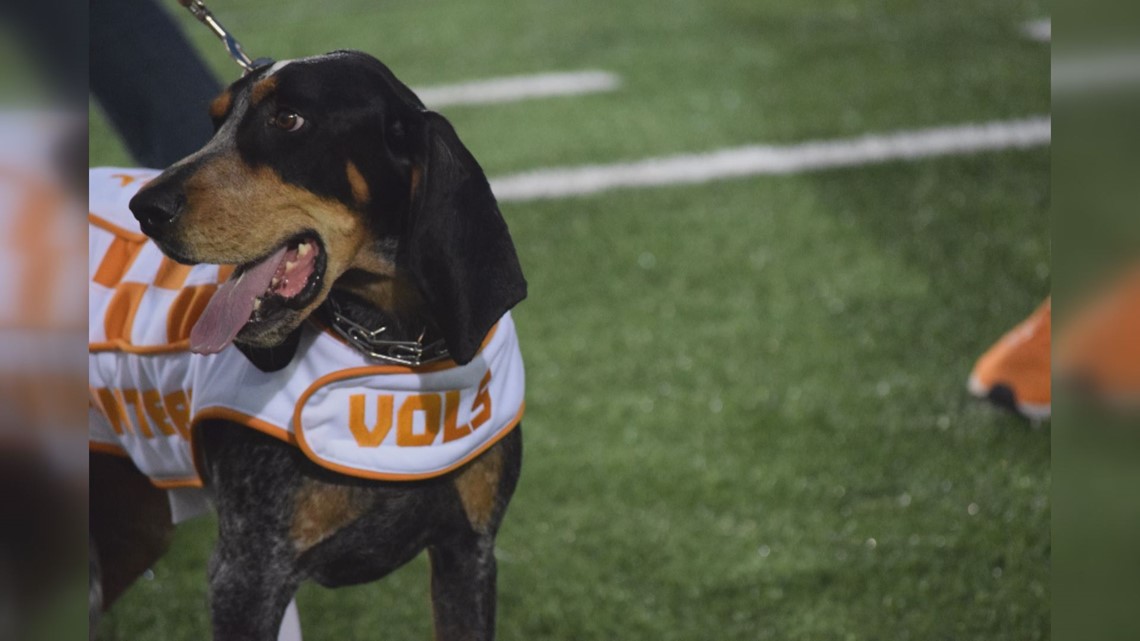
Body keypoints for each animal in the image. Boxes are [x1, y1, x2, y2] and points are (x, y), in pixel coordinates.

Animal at [90, 51, 528, 638]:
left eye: (289, 119)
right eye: (216, 120)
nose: (145, 208)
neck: (394, 344)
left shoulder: (468, 552)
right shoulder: (247, 575)